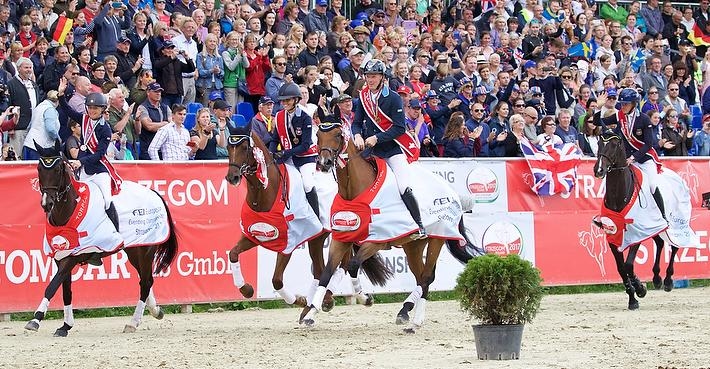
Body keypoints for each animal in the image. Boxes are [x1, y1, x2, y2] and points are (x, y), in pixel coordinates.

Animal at [28, 139, 179, 334]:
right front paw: (65, 326)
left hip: (145, 250)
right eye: (39, 169)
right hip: (133, 251)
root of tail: (154, 193)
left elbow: (52, 287)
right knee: (145, 280)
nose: (47, 203)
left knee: (146, 282)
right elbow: (66, 291)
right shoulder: (61, 257)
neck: (68, 213)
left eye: (58, 169)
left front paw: (36, 319)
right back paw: (155, 310)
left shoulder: (72, 257)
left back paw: (133, 322)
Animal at [300, 121, 450, 330]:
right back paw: (405, 312)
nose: (324, 163)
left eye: (338, 135)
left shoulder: (376, 242)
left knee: (427, 277)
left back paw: (416, 321)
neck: (353, 192)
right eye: (317, 137)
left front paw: (365, 298)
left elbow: (353, 265)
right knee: (421, 277)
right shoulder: (342, 239)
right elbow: (327, 273)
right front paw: (311, 313)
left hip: (437, 239)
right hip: (413, 246)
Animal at [596, 131, 680, 310]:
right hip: (654, 227)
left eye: (614, 145)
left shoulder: (637, 234)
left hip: (675, 224)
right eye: (599, 143)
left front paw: (640, 288)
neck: (619, 195)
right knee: (660, 243)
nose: (598, 170)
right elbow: (621, 268)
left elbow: (628, 265)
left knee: (675, 246)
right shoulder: (613, 237)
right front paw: (633, 298)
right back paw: (657, 278)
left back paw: (668, 281)